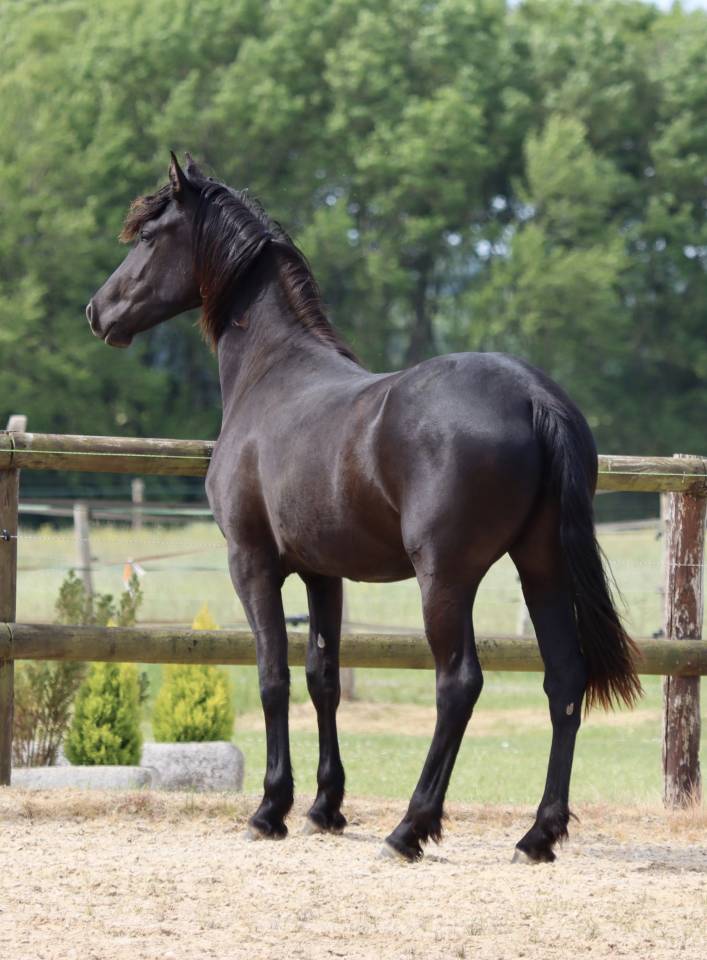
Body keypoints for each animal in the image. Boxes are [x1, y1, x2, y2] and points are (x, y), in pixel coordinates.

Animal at [87, 154, 641, 863]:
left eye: (151, 238)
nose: (98, 311)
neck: (271, 374)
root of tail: (531, 394)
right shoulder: (324, 573)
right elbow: (323, 677)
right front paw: (325, 806)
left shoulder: (252, 563)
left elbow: (272, 676)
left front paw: (271, 808)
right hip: (541, 566)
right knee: (564, 680)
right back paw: (537, 835)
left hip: (446, 578)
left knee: (458, 684)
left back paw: (410, 827)